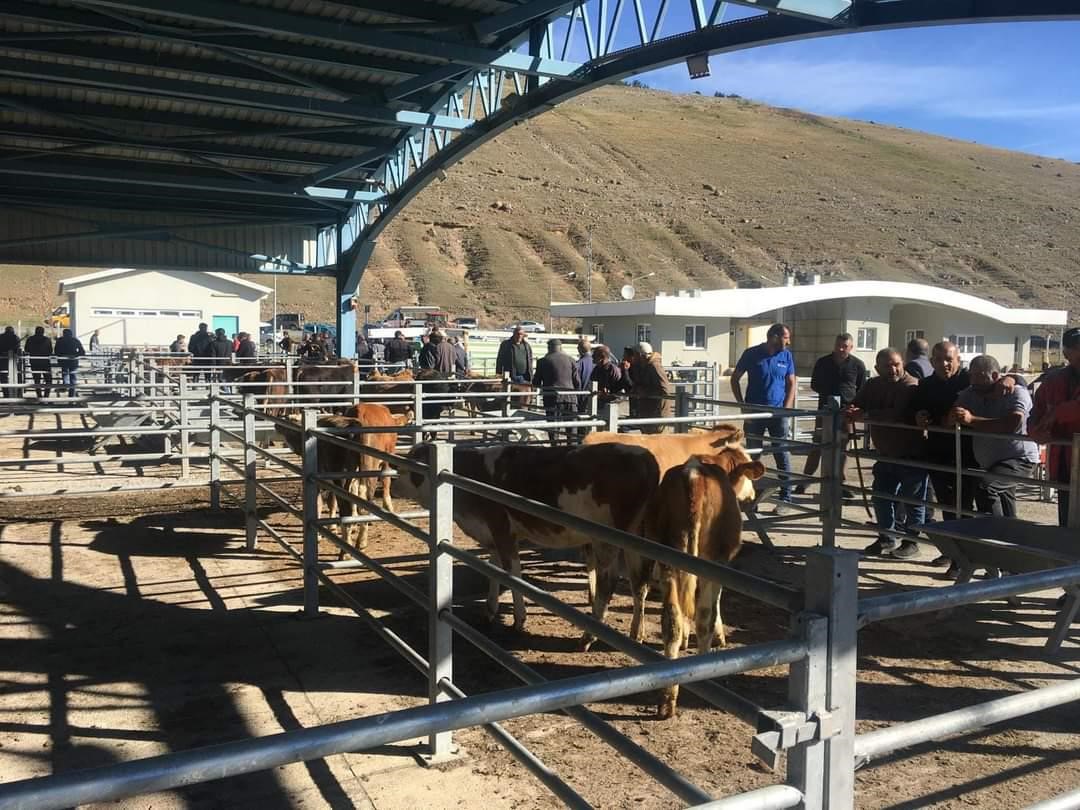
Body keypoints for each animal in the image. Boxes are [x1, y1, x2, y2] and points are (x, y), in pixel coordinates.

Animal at [393, 440, 656, 652]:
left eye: (411, 464)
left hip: (606, 540)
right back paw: (636, 634)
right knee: (639, 582)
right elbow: (493, 570)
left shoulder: (503, 531)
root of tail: (642, 456)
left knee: (607, 584)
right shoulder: (493, 536)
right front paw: (489, 611)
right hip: (636, 538)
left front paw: (519, 620)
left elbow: (511, 575)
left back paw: (587, 638)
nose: (393, 481)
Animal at [630, 447, 768, 721]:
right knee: (704, 616)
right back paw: (704, 672)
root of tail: (692, 478)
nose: (752, 495)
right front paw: (719, 637)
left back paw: (667, 699)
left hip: (668, 559)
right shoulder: (722, 563)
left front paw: (685, 638)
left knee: (670, 616)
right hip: (709, 562)